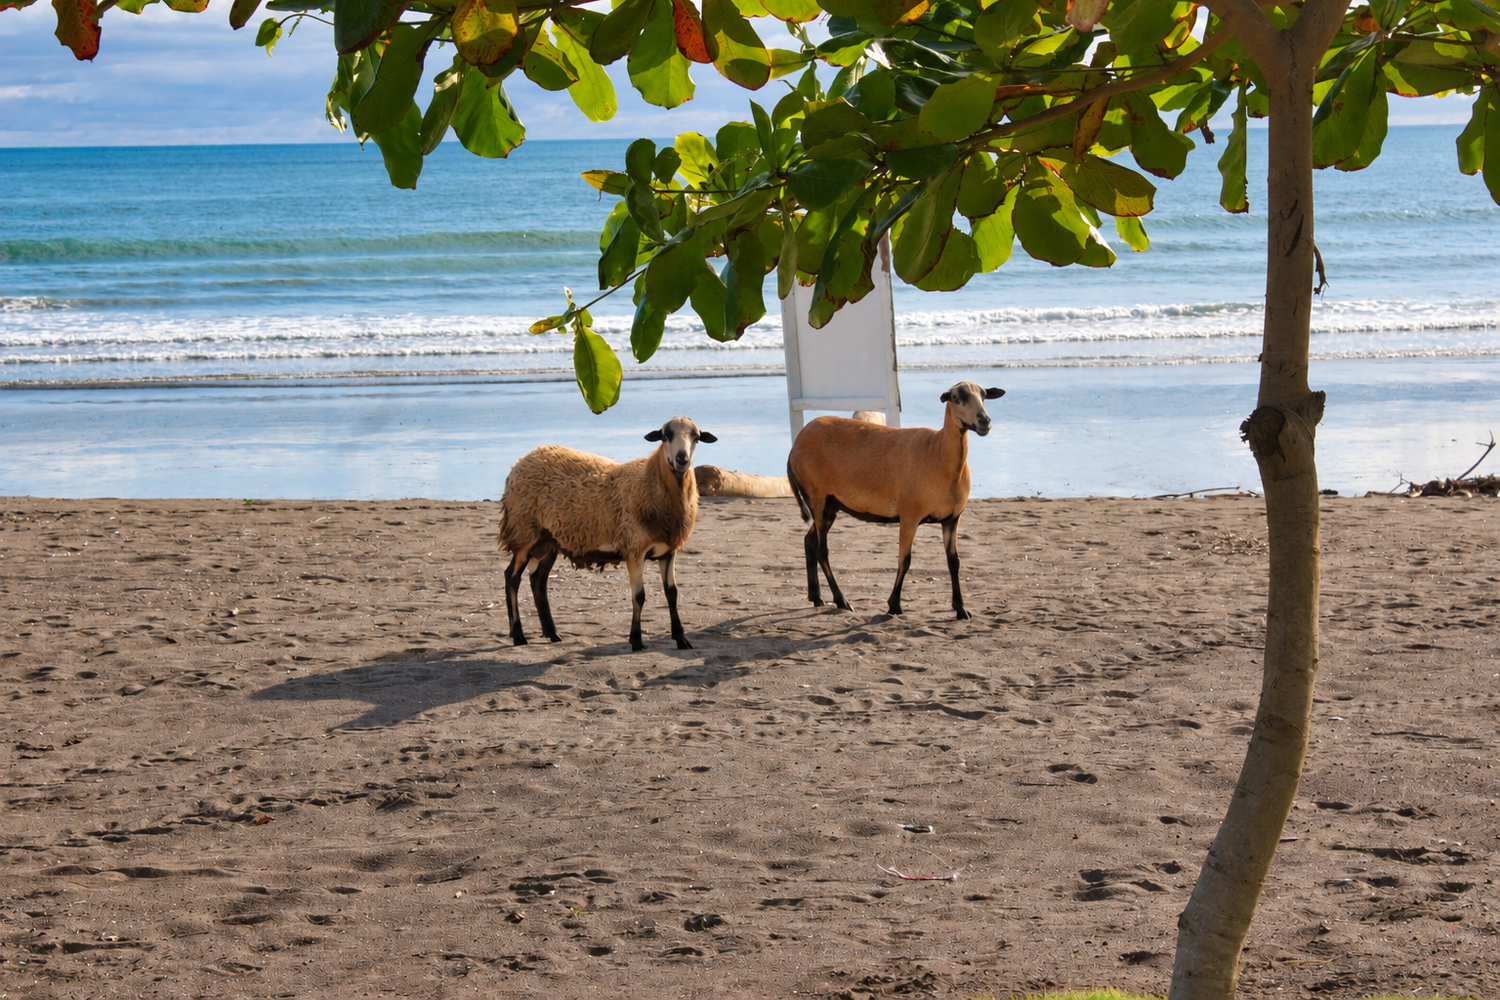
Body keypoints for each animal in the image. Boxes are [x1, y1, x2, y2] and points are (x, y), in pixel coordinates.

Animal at [498, 416, 716, 652]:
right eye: (666, 436)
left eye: (696, 437)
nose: (681, 459)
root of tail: (522, 461)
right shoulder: (634, 549)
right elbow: (639, 596)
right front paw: (636, 640)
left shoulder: (668, 551)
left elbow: (672, 594)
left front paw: (681, 639)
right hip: (524, 532)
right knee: (512, 578)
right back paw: (518, 635)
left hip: (548, 541)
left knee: (538, 580)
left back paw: (552, 634)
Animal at [785, 380, 1004, 620]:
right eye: (956, 398)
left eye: (984, 395)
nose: (984, 421)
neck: (938, 453)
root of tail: (794, 448)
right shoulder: (909, 516)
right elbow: (904, 560)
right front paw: (894, 606)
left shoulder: (952, 519)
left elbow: (954, 562)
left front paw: (961, 609)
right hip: (817, 496)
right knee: (821, 549)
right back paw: (842, 601)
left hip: (830, 505)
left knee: (809, 541)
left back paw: (817, 597)